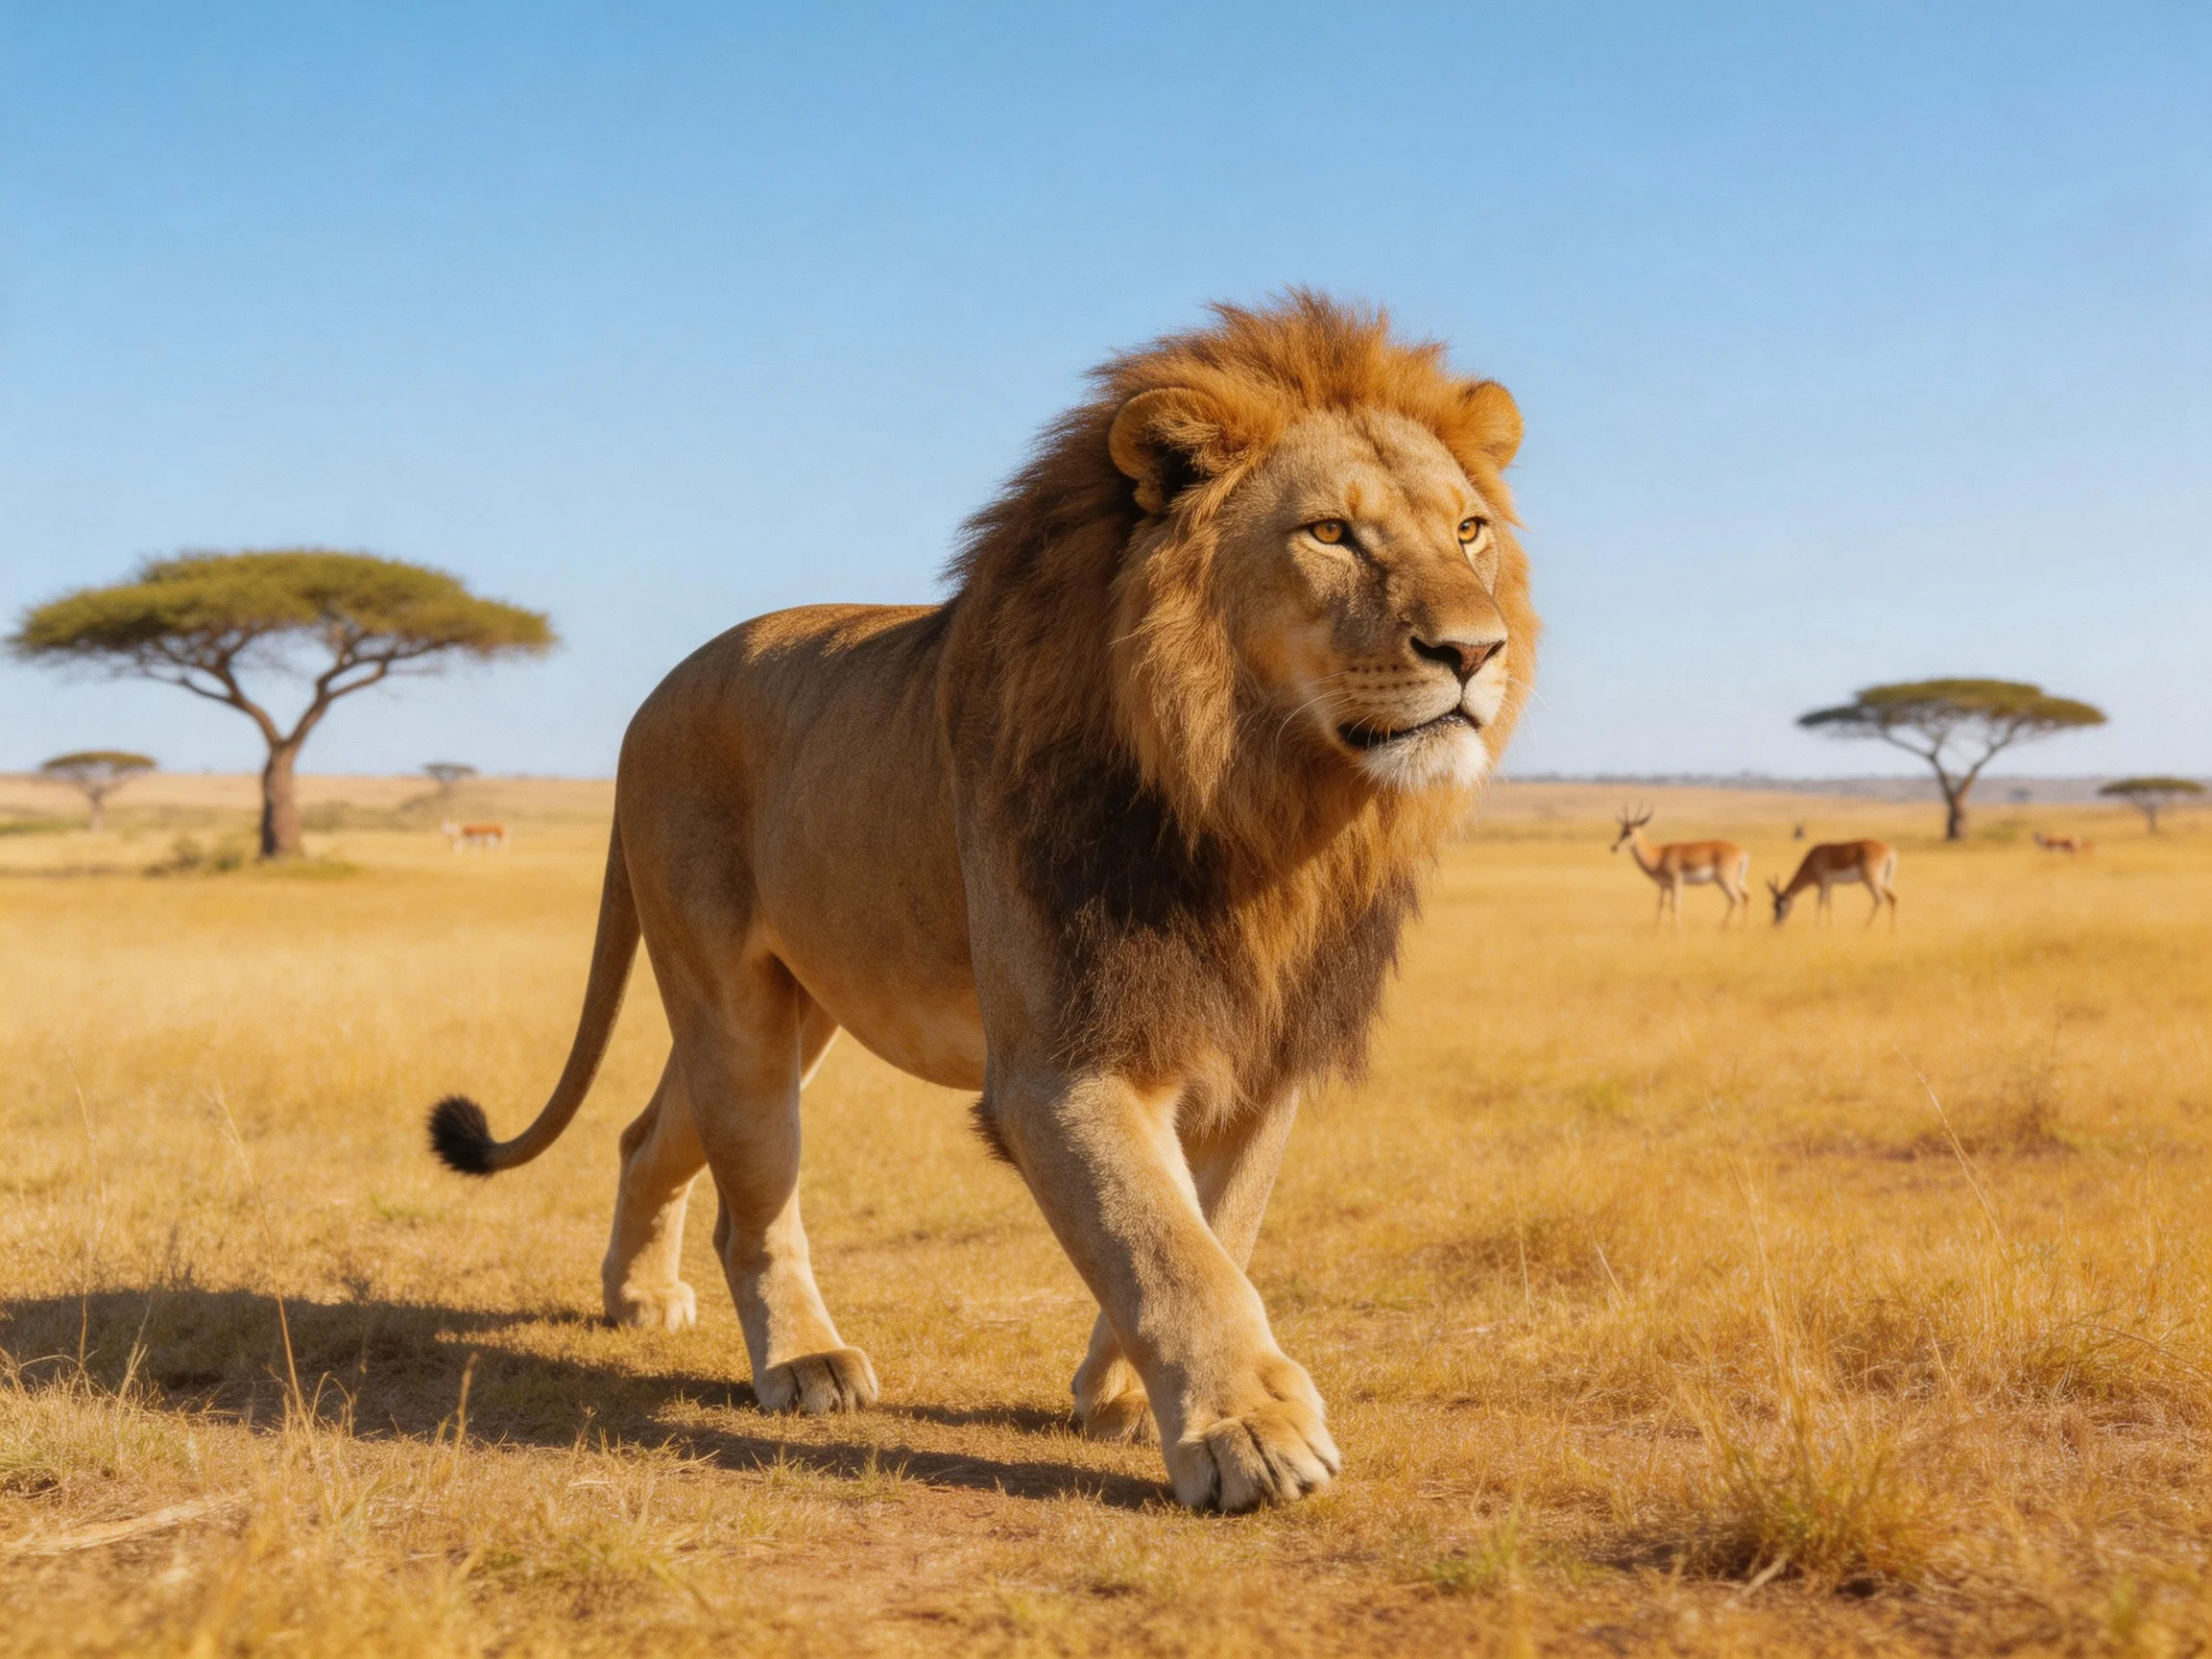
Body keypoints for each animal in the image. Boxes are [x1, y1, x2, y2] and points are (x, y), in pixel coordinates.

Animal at [427, 293, 1538, 1512]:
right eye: (1331, 534)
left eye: (1470, 531)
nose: (1475, 650)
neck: (1258, 799)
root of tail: (652, 698)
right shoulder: (1059, 1064)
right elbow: (1165, 1244)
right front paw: (1245, 1433)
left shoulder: (1260, 1053)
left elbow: (1215, 1228)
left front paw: (1120, 1395)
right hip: (732, 1001)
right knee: (753, 1203)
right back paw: (805, 1361)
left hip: (802, 1007)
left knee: (648, 1134)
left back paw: (636, 1299)